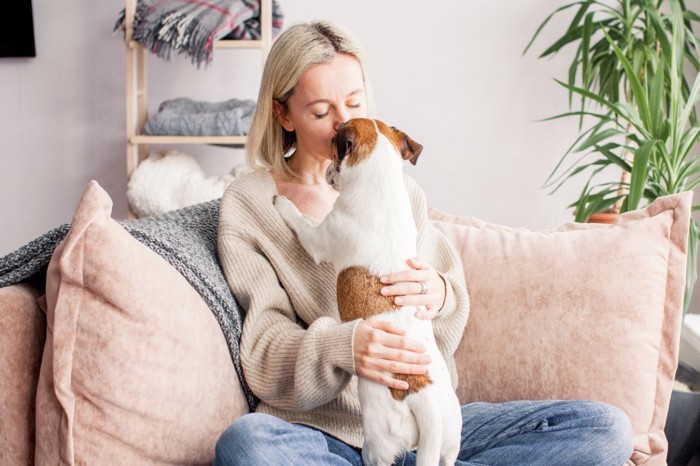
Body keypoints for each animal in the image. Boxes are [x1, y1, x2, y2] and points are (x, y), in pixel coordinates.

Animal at [274, 118, 464, 464]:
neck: (381, 183)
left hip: (378, 439)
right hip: (450, 441)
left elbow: (302, 222)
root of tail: (425, 399)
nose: (327, 172)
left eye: (333, 147)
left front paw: (285, 203)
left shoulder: (319, 238)